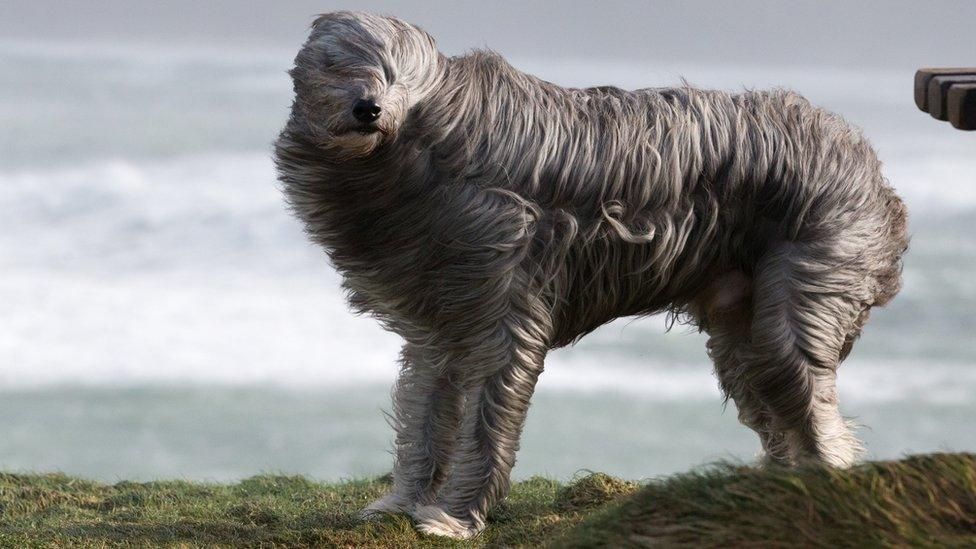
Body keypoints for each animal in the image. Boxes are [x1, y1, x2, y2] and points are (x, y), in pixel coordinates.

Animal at [272, 12, 908, 540]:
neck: (430, 139)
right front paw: (403, 503)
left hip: (802, 292)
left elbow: (486, 418)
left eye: (400, 76)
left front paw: (454, 517)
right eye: (340, 64)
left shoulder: (507, 304)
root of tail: (863, 158)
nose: (369, 108)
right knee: (772, 396)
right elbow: (426, 410)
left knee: (812, 406)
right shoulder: (439, 327)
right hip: (741, 323)